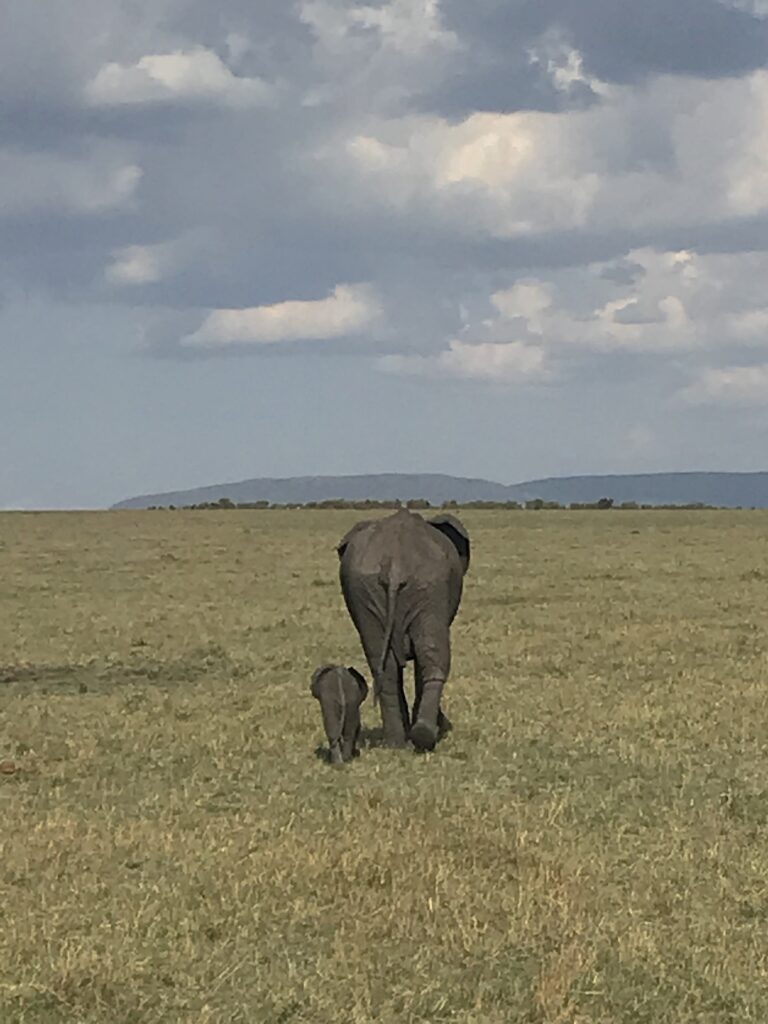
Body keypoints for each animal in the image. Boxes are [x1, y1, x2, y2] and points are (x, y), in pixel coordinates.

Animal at [337, 508, 470, 752]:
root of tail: (394, 563)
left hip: (365, 590)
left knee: (384, 667)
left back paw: (396, 742)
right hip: (429, 588)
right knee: (434, 659)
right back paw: (425, 736)